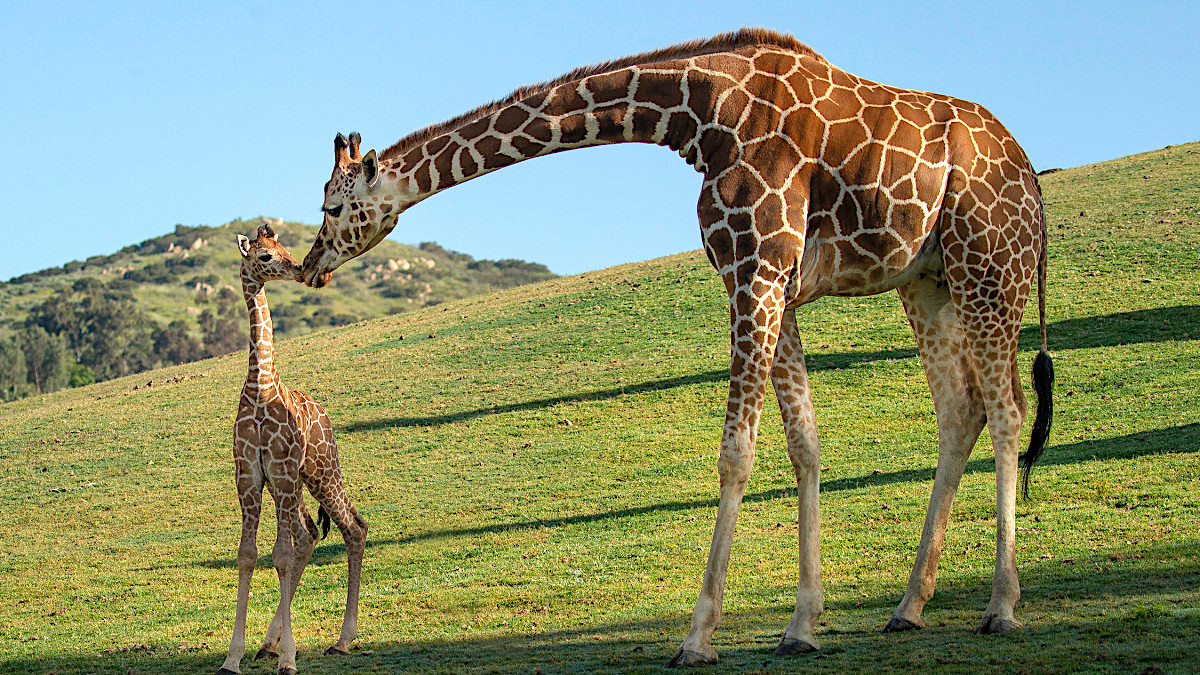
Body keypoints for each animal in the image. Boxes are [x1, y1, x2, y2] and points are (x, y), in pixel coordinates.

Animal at [216, 224, 364, 672]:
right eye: (265, 255)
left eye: (282, 247)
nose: (299, 270)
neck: (260, 387)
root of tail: (327, 416)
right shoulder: (249, 475)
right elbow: (248, 555)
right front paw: (233, 658)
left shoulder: (279, 471)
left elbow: (279, 555)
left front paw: (289, 660)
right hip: (299, 484)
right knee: (311, 533)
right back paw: (269, 643)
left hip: (321, 471)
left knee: (353, 527)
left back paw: (342, 640)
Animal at [300, 30, 1051, 662]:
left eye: (332, 207)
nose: (311, 265)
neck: (700, 116)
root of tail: (1030, 177)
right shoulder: (767, 281)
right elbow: (804, 443)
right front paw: (802, 623)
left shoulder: (758, 271)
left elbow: (736, 452)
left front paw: (698, 636)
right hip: (928, 280)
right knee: (961, 411)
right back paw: (908, 605)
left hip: (989, 265)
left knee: (1008, 410)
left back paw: (1001, 606)